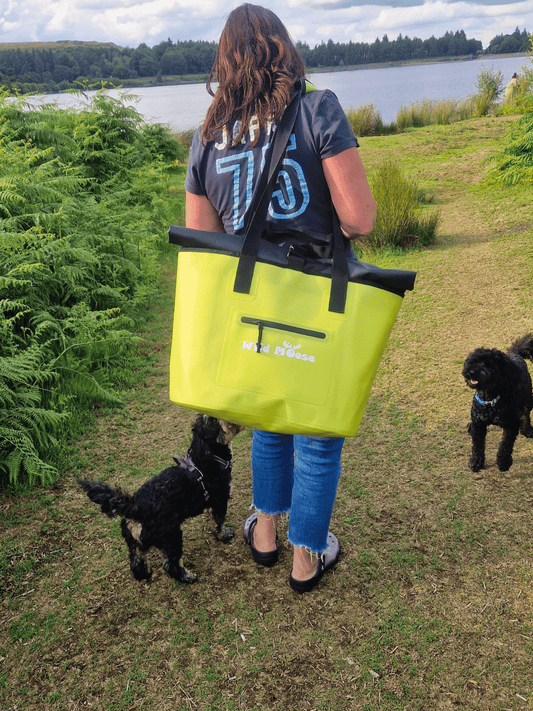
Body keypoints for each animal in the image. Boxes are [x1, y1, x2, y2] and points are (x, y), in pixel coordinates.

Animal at [77, 418, 243, 584]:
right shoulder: (220, 498)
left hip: (134, 540)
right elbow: (220, 521)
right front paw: (224, 535)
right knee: (171, 565)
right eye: (212, 420)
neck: (207, 458)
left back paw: (144, 574)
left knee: (136, 561)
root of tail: (135, 506)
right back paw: (188, 577)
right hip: (171, 536)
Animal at [460, 334, 532, 472]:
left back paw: (527, 429)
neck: (489, 399)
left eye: (489, 364)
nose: (471, 372)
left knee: (526, 413)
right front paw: (476, 462)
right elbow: (477, 446)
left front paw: (503, 462)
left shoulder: (511, 424)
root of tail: (514, 352)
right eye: (473, 361)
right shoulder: (478, 424)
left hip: (527, 397)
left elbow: (505, 445)